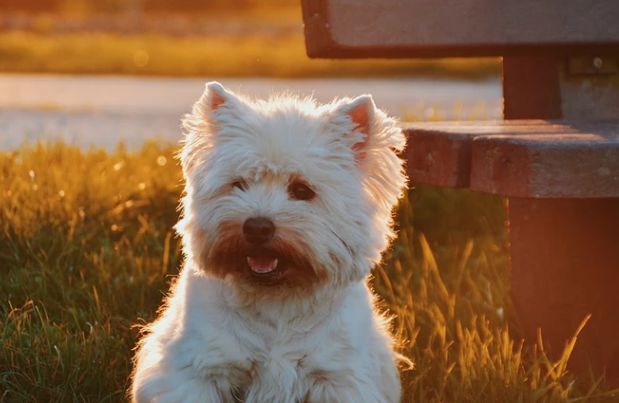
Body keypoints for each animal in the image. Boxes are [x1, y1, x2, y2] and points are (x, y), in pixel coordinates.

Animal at [132, 83, 406, 403]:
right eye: (238, 184)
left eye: (302, 190)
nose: (257, 227)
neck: (276, 300)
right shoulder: (199, 370)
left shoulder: (339, 376)